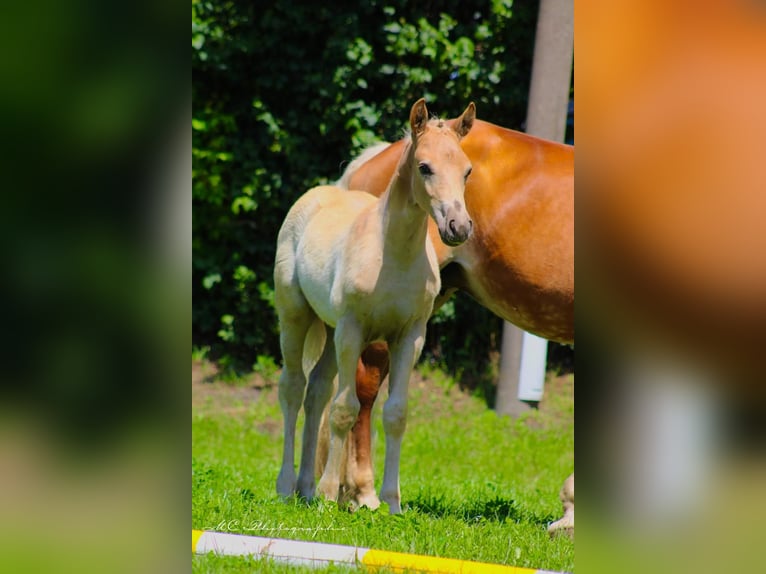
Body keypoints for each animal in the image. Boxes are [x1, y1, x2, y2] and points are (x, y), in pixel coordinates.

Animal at [272, 100, 476, 516]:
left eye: (467, 170)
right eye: (424, 167)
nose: (458, 227)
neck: (392, 255)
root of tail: (321, 192)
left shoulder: (411, 336)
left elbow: (396, 413)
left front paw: (391, 502)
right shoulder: (353, 330)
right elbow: (345, 409)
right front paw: (331, 496)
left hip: (329, 328)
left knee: (317, 391)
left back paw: (306, 488)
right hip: (296, 317)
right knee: (293, 388)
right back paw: (288, 487)